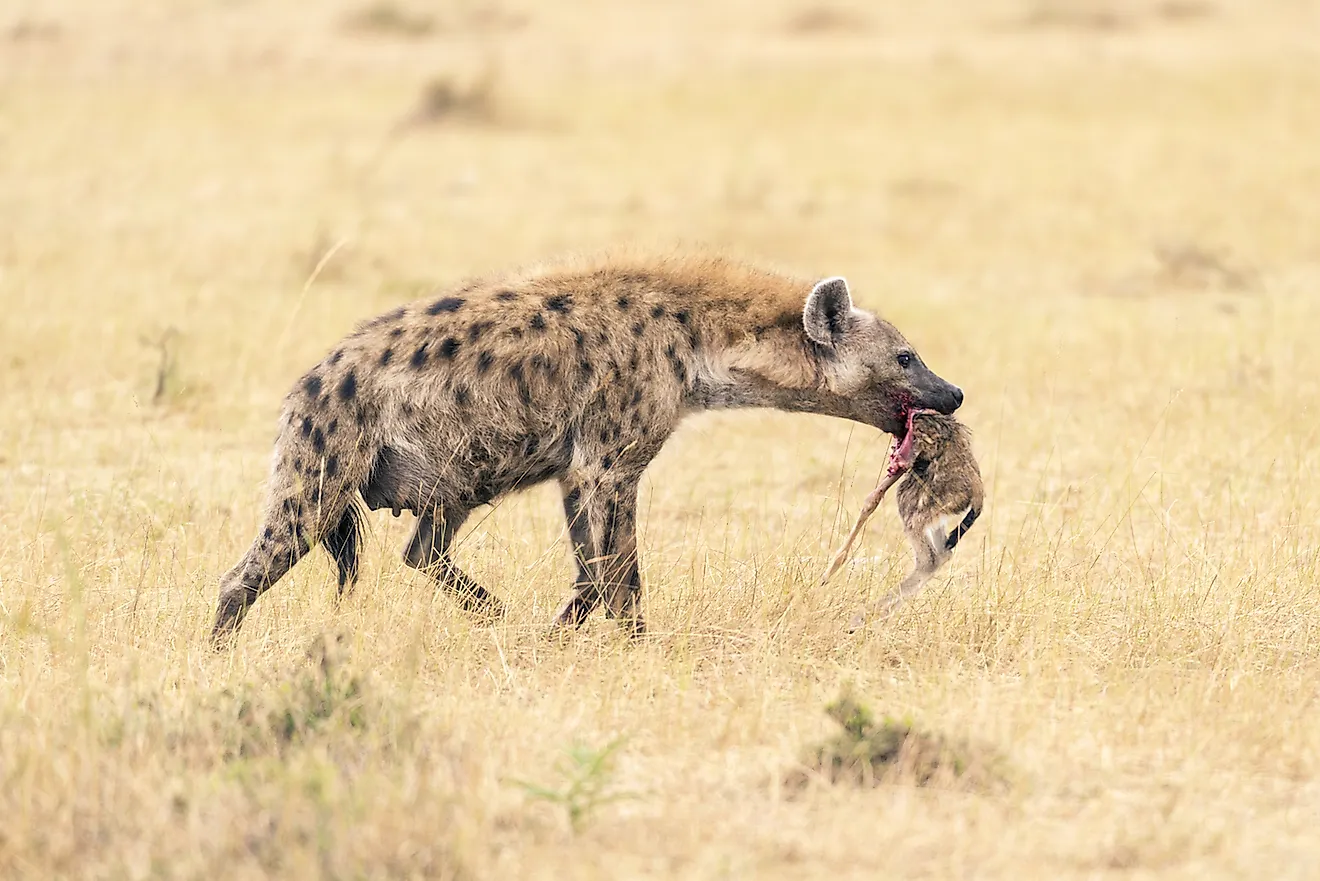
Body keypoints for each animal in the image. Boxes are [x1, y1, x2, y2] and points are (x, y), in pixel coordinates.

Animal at [211, 250, 966, 644]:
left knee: (421, 547)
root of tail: (309, 382)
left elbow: (595, 570)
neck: (696, 347)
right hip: (324, 464)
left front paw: (570, 635)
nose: (955, 392)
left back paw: (493, 612)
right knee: (251, 566)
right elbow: (615, 571)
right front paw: (625, 642)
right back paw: (219, 653)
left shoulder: (584, 470)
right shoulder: (607, 460)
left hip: (456, 473)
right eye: (906, 356)